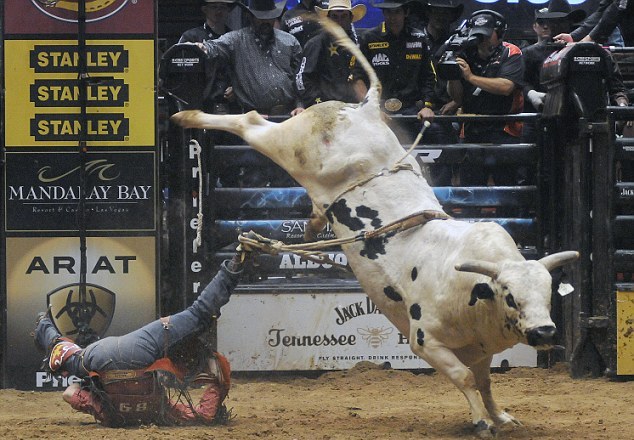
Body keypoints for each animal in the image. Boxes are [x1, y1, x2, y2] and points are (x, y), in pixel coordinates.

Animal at [170, 17, 576, 436]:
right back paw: (186, 117)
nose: (545, 332)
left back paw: (313, 224)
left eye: (548, 292)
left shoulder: (478, 348)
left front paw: (500, 415)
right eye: (510, 295)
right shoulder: (425, 340)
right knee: (250, 121)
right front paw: (481, 421)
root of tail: (364, 110)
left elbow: (484, 381)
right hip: (287, 143)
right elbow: (464, 377)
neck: (469, 285)